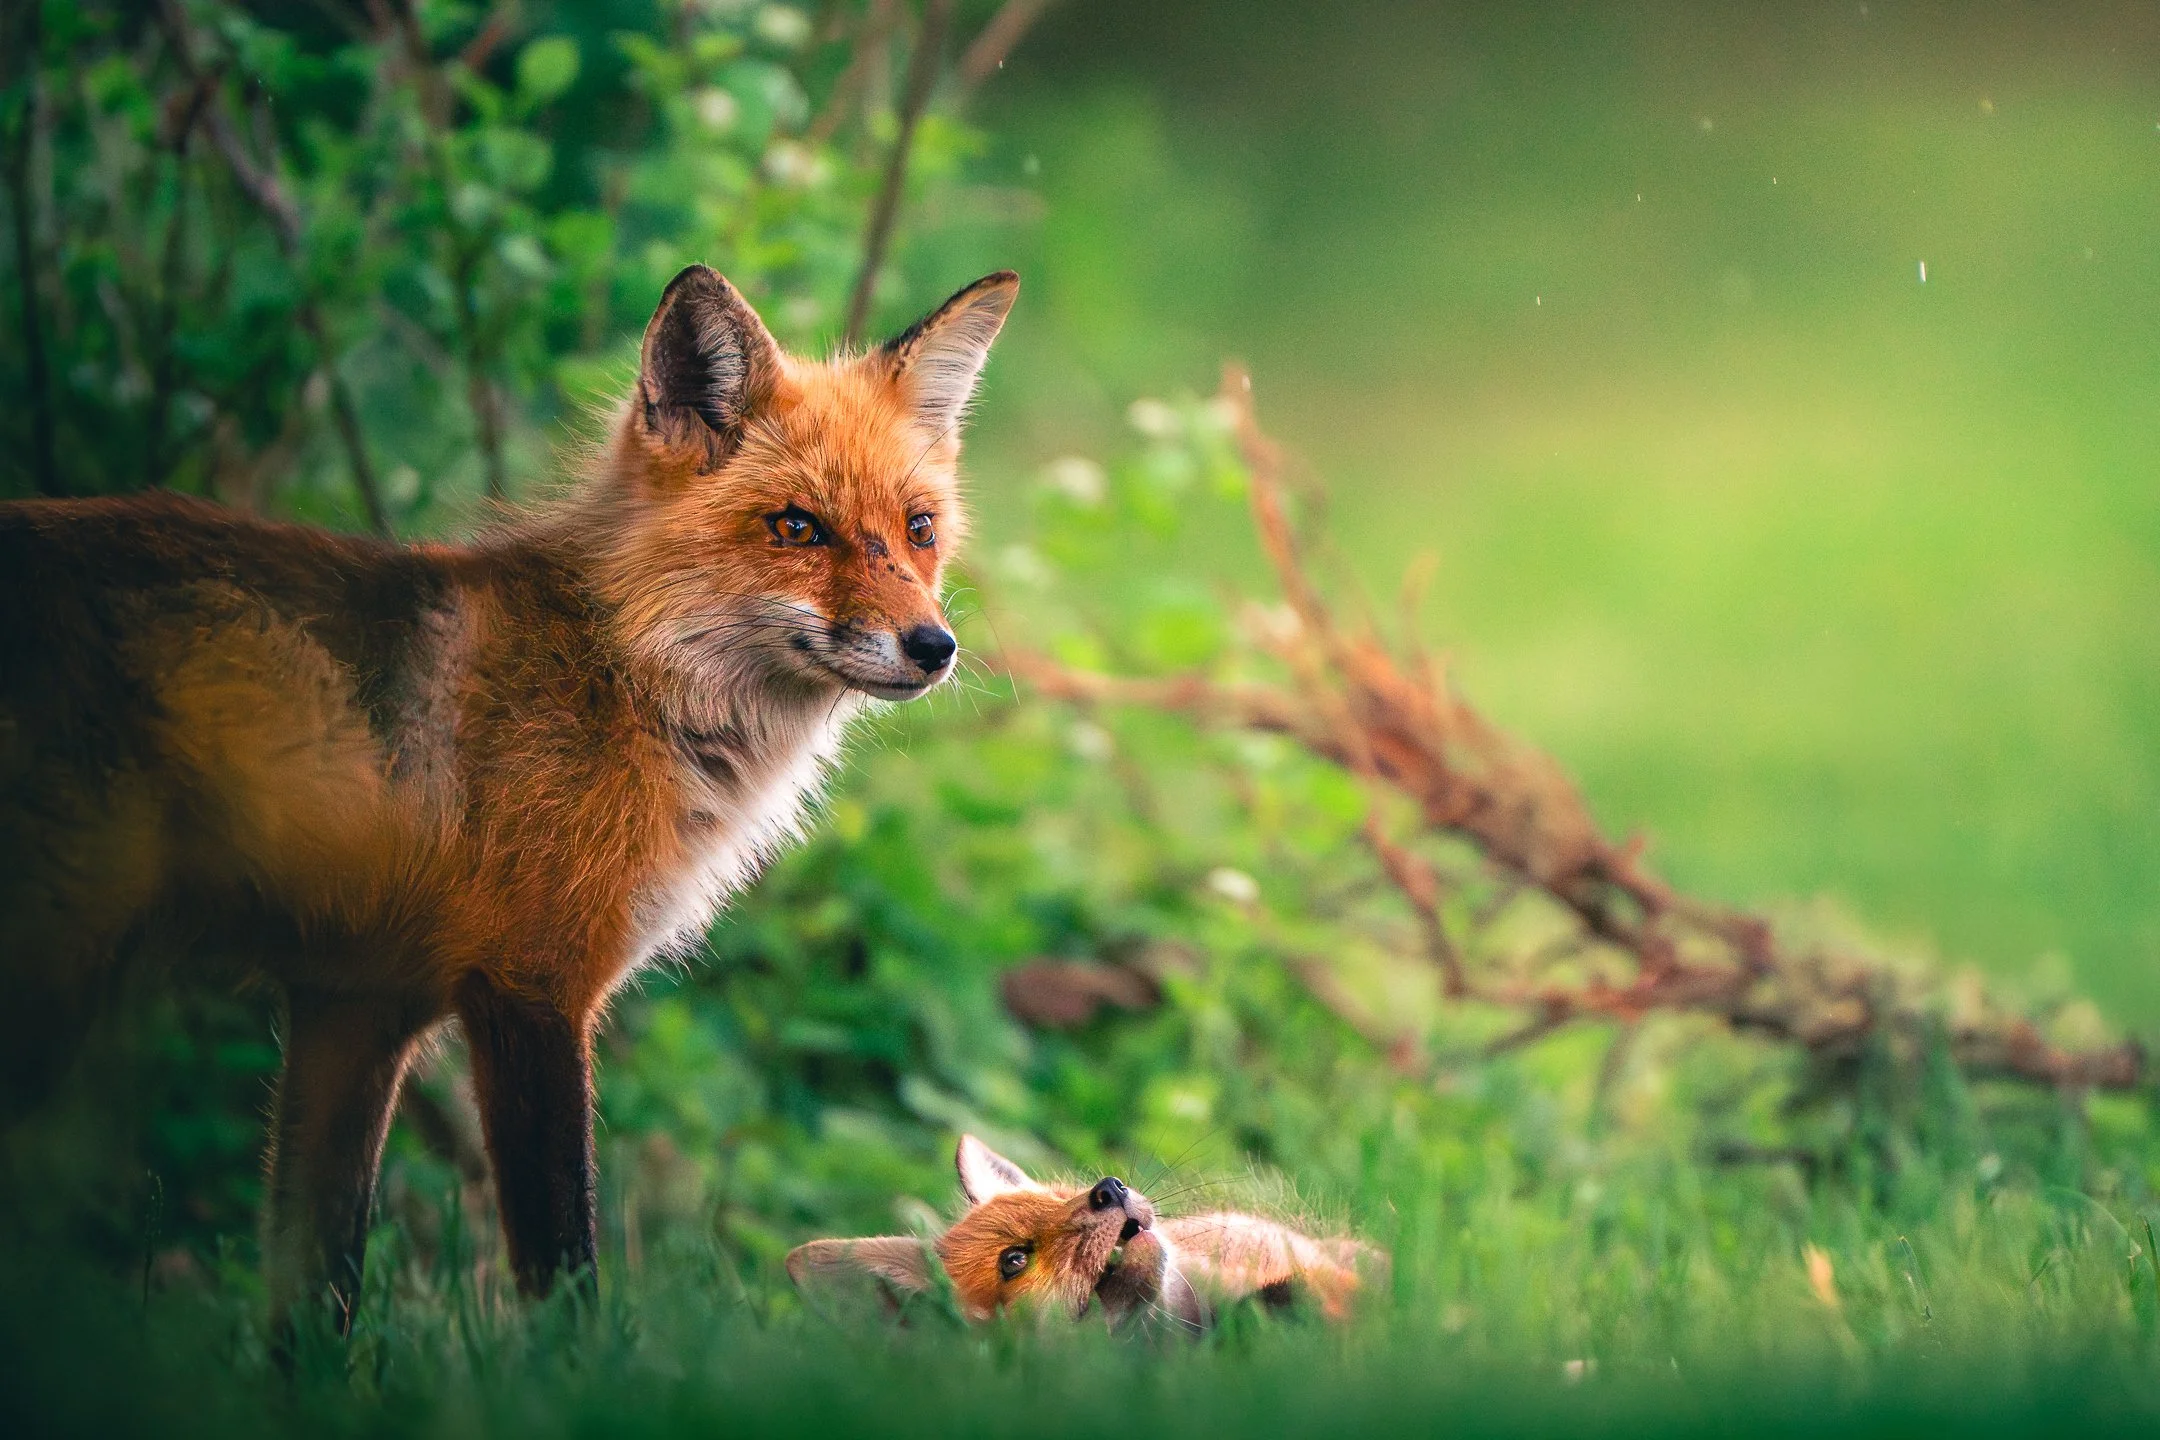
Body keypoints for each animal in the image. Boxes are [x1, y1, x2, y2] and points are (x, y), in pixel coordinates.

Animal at [0, 264, 1019, 1335]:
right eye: (797, 528)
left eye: (919, 529)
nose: (934, 647)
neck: (624, 678)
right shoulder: (531, 987)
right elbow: (564, 1266)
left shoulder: (354, 1006)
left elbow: (319, 1290)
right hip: (51, 972)